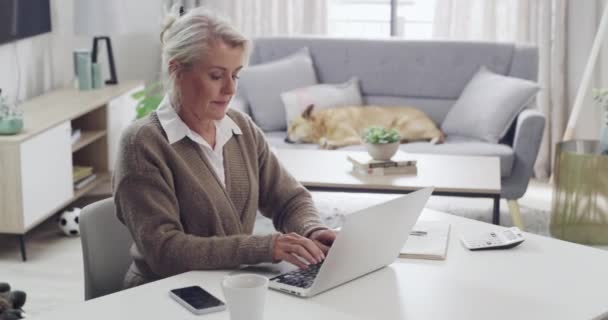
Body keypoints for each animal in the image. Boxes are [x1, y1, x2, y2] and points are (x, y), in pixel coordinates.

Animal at [288, 105, 444, 150]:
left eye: (294, 126)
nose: (285, 140)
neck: (323, 123)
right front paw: (325, 141)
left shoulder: (354, 137)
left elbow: (338, 140)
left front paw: (330, 143)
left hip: (404, 128)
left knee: (439, 134)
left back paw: (436, 139)